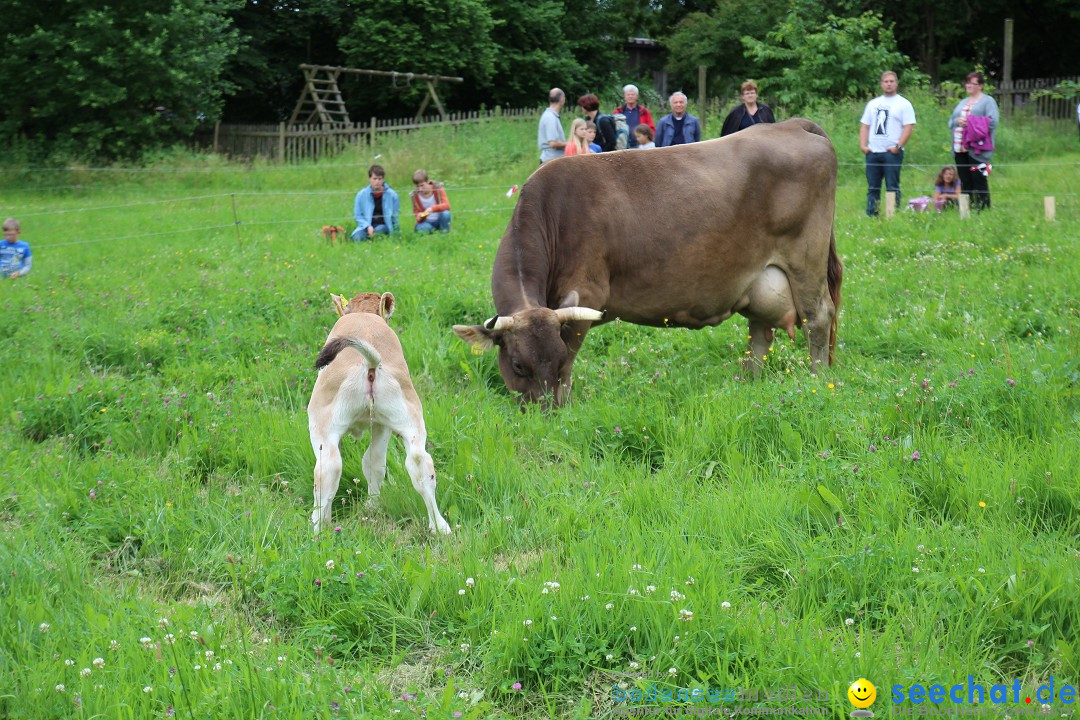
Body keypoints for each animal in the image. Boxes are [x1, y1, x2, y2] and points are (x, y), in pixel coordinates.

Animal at [308, 293, 451, 535]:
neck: (364, 314)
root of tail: (370, 362)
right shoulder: (382, 425)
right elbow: (375, 462)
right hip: (408, 418)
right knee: (419, 464)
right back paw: (440, 527)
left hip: (322, 428)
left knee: (327, 470)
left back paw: (318, 529)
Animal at [451, 120, 838, 408]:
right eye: (518, 364)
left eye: (556, 358)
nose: (543, 412)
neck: (552, 212)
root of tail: (791, 124)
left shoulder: (586, 296)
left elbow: (571, 365)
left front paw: (566, 406)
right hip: (760, 278)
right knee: (759, 332)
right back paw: (749, 384)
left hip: (806, 261)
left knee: (818, 319)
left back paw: (817, 381)